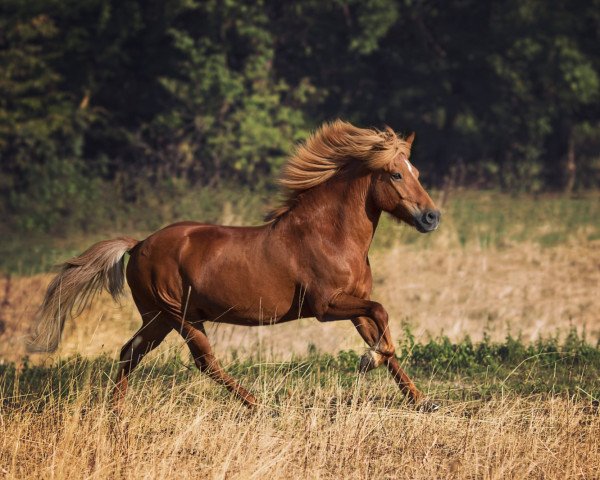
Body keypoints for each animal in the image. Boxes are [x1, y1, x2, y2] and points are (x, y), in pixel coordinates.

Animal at [31, 119, 440, 408]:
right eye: (396, 173)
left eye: (418, 172)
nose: (431, 217)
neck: (329, 235)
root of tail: (139, 244)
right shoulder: (327, 306)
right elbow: (383, 315)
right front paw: (368, 361)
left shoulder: (354, 306)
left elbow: (382, 335)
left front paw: (422, 401)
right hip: (180, 315)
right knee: (204, 362)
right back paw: (257, 404)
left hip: (158, 317)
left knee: (131, 352)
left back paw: (117, 412)